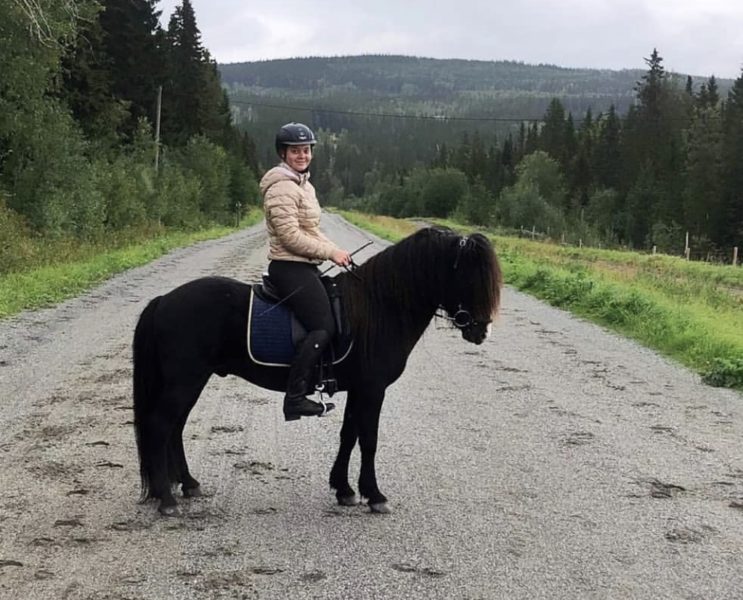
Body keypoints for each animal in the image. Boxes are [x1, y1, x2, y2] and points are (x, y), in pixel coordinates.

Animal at [135, 226, 506, 516]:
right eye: (467, 276)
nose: (481, 332)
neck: (380, 306)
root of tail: (164, 300)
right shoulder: (373, 389)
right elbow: (368, 439)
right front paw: (375, 495)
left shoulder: (358, 388)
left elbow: (349, 435)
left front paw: (345, 490)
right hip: (185, 379)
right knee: (161, 426)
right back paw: (167, 499)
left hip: (191, 380)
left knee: (175, 427)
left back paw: (188, 484)